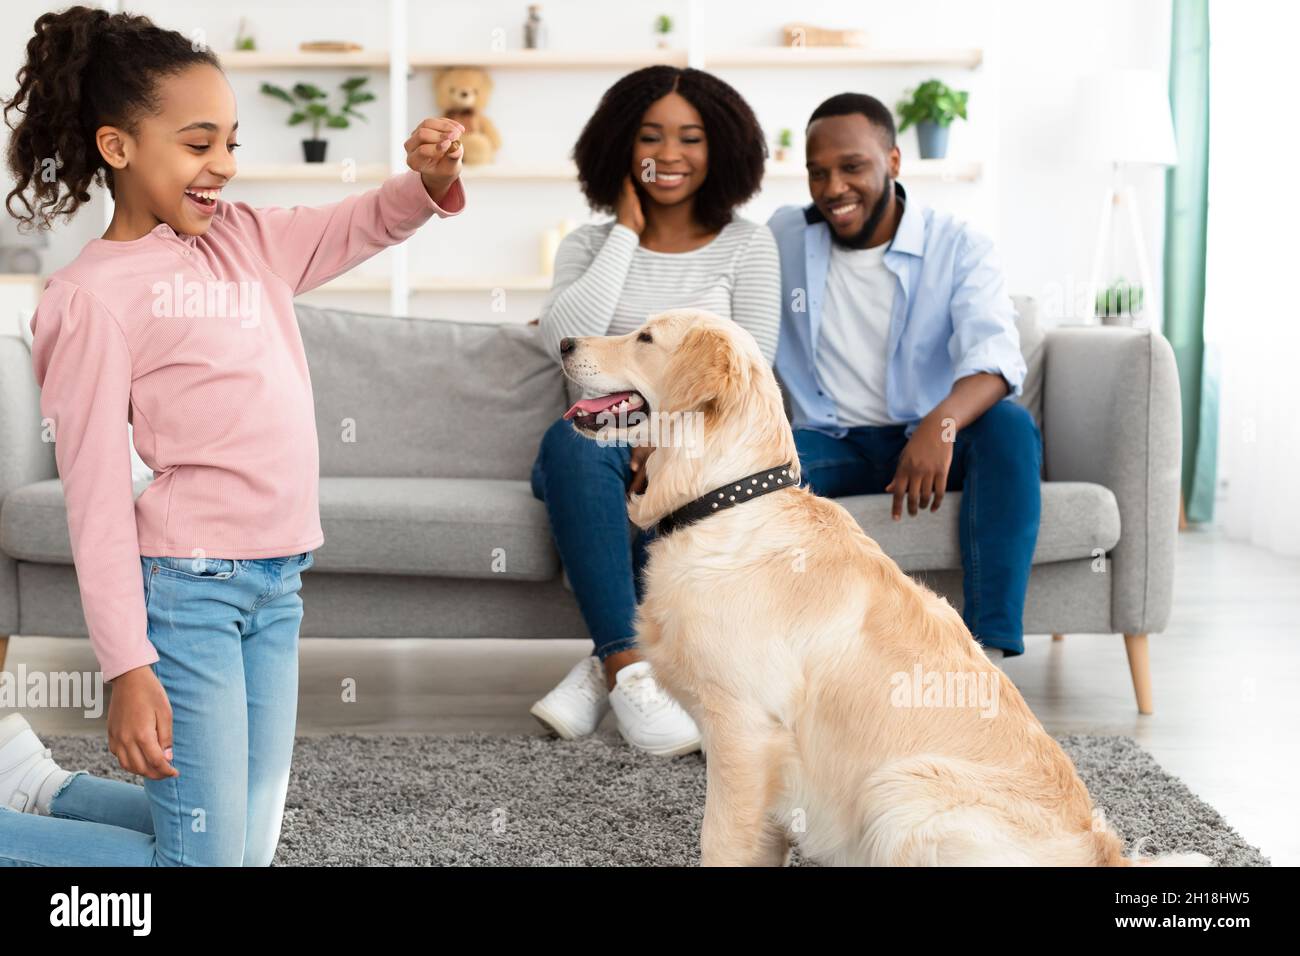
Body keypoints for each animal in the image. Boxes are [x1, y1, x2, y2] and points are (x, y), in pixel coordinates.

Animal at [556, 310, 1206, 868]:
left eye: (645, 337)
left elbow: (720, 841)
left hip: (899, 788)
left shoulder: (745, 731)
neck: (723, 499)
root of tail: (1105, 853)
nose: (562, 342)